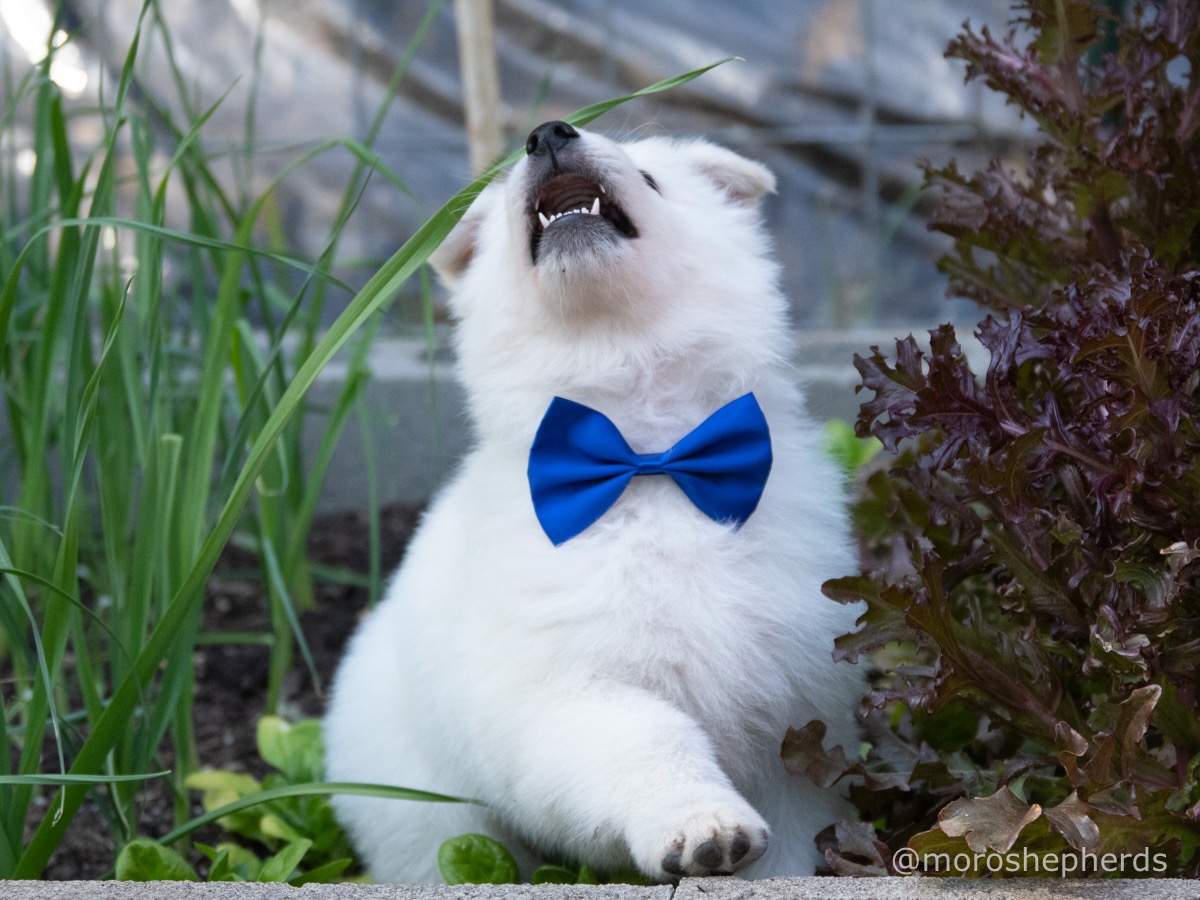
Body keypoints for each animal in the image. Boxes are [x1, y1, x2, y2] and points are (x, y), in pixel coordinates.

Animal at [319, 123, 864, 883]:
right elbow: (649, 738)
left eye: (651, 178)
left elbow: (789, 832)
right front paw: (701, 821)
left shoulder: (792, 713)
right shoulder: (567, 695)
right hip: (419, 804)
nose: (548, 133)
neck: (649, 458)